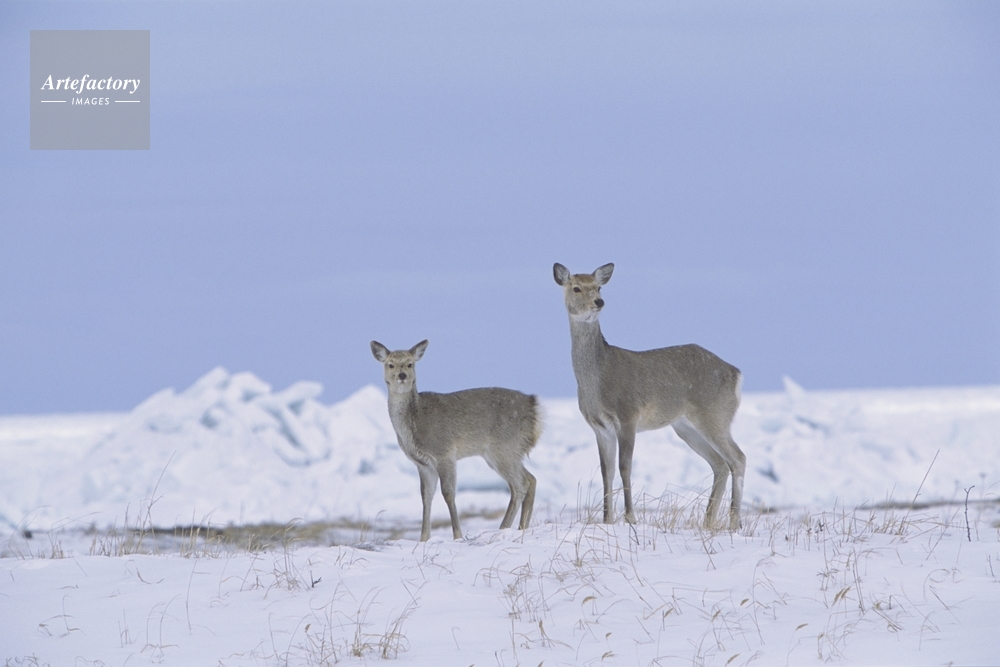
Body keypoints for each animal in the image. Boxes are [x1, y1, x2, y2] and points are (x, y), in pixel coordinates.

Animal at [370, 340, 541, 541]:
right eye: (390, 364)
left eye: (410, 364)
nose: (402, 375)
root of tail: (535, 408)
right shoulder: (423, 464)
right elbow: (425, 496)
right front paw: (423, 538)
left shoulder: (444, 453)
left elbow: (448, 493)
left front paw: (457, 535)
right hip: (507, 452)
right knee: (531, 479)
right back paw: (521, 528)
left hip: (504, 448)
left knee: (520, 485)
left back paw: (503, 528)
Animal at [553, 263, 746, 531]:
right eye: (576, 288)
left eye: (599, 287)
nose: (599, 302)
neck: (597, 381)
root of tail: (736, 374)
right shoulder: (599, 427)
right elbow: (606, 471)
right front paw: (607, 520)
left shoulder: (628, 415)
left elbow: (625, 467)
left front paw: (630, 518)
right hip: (685, 426)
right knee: (719, 463)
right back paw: (708, 522)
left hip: (715, 415)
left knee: (738, 458)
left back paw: (734, 523)